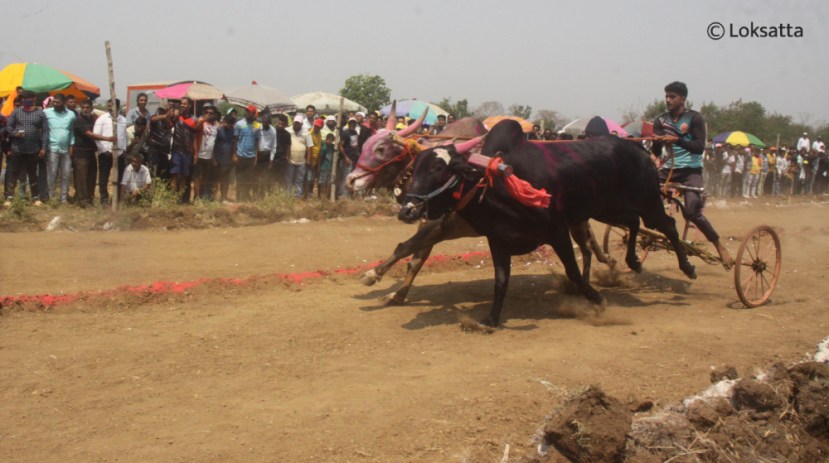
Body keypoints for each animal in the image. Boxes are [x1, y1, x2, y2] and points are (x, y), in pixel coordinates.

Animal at [398, 121, 696, 328]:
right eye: (415, 168)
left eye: (439, 168)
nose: (407, 210)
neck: (498, 182)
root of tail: (639, 149)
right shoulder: (499, 240)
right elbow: (501, 280)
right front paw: (491, 319)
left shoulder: (557, 231)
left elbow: (573, 271)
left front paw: (597, 299)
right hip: (609, 210)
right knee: (634, 224)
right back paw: (634, 261)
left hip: (648, 202)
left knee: (668, 225)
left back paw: (687, 268)